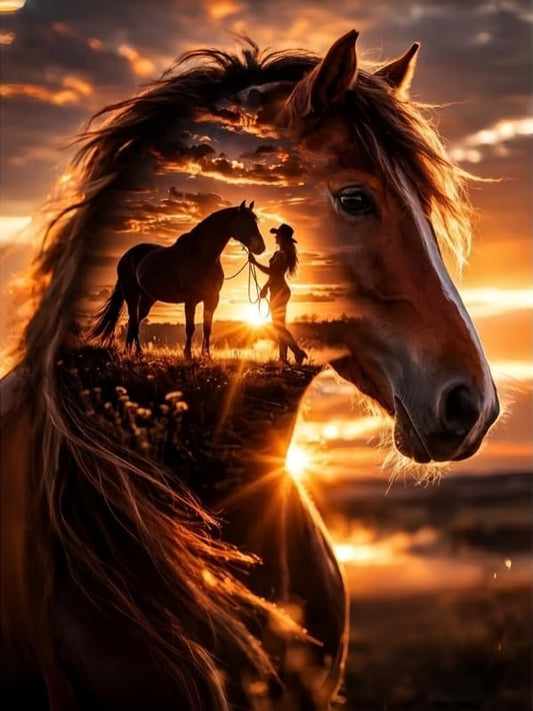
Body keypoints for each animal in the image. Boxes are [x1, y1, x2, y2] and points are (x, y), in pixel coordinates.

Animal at [90, 201, 265, 357]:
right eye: (246, 222)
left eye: (255, 222)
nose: (261, 248)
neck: (201, 256)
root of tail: (126, 257)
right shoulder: (190, 299)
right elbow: (190, 327)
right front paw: (188, 354)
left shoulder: (212, 299)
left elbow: (207, 328)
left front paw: (206, 355)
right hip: (132, 295)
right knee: (133, 321)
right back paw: (137, 352)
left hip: (147, 299)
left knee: (136, 322)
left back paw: (131, 351)